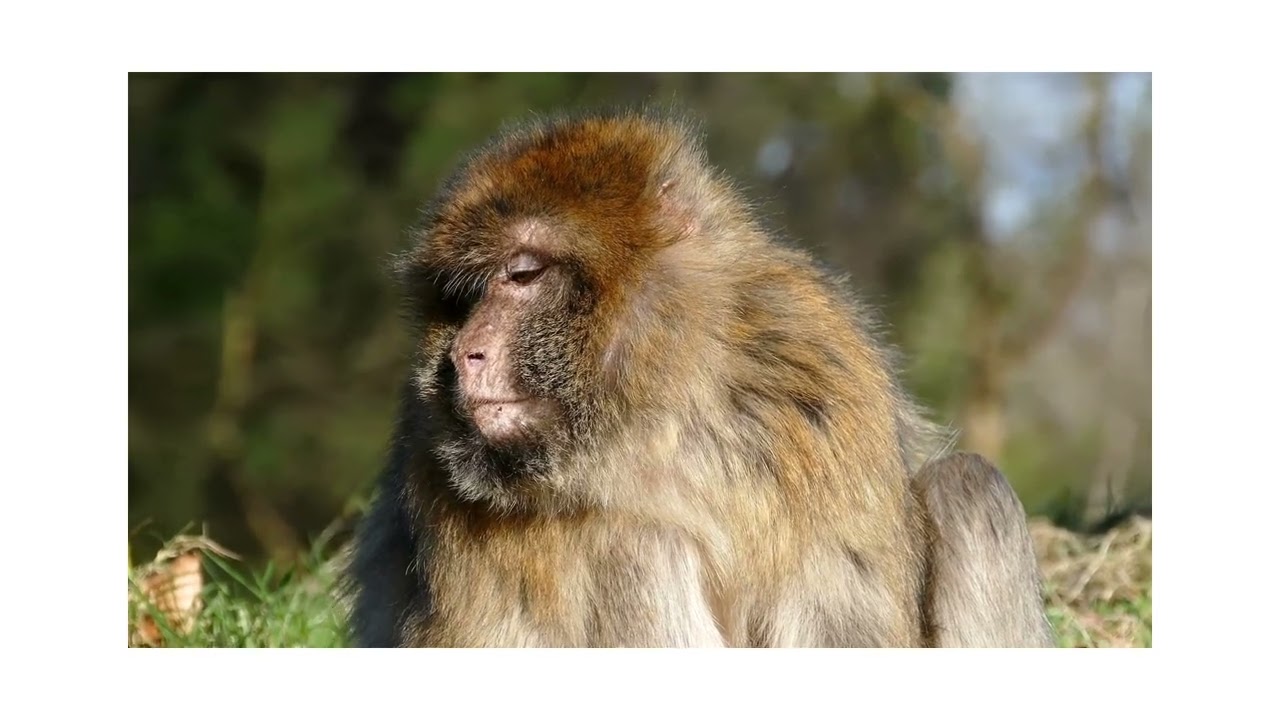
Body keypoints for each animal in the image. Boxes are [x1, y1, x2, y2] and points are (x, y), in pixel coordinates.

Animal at [345, 110, 1055, 648]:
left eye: (523, 275)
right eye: (462, 298)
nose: (466, 353)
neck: (652, 415)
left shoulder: (818, 376)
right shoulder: (434, 463)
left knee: (970, 486)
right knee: (634, 543)